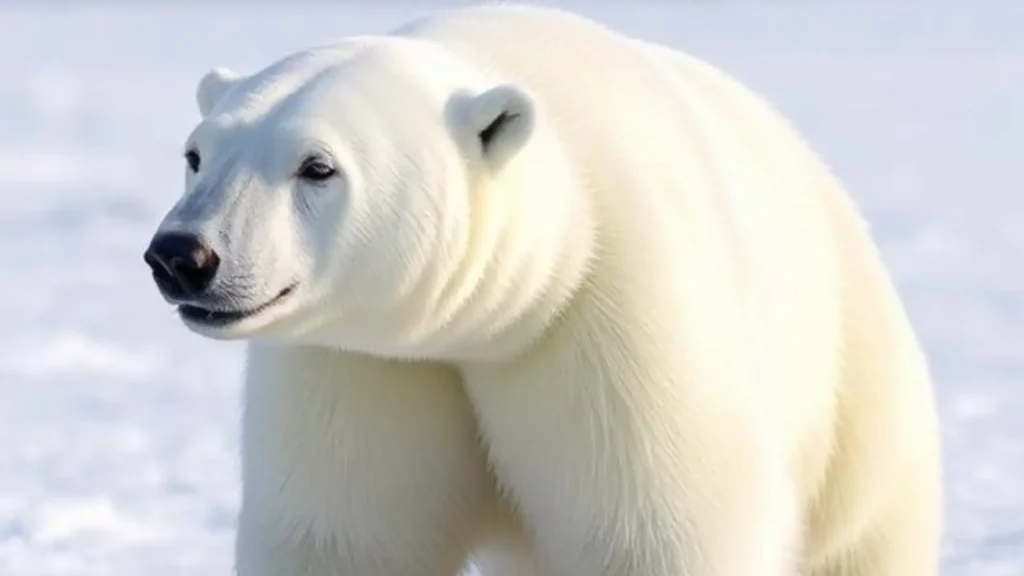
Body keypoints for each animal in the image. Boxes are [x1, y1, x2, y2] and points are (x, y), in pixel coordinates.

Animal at [142, 4, 943, 576]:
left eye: (317, 166)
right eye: (196, 153)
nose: (182, 255)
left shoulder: (613, 315)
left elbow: (662, 530)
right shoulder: (364, 364)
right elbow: (347, 534)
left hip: (855, 395)